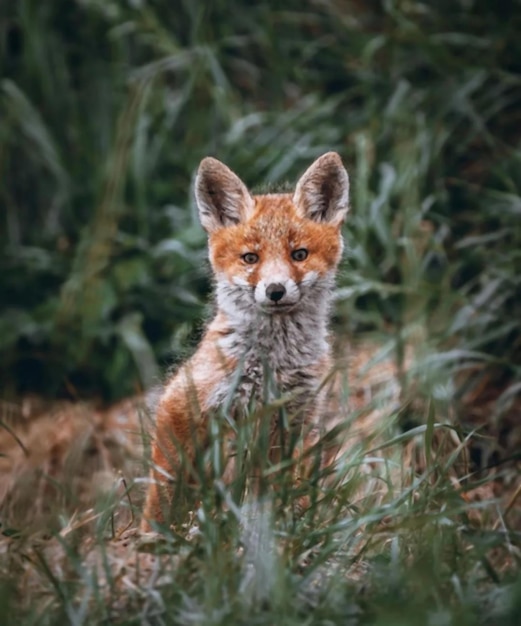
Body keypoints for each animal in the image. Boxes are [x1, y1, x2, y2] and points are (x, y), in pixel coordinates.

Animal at [141, 151, 350, 528]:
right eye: (250, 258)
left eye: (299, 254)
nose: (275, 290)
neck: (273, 364)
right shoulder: (179, 404)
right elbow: (163, 494)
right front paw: (154, 535)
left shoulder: (295, 421)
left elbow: (278, 492)